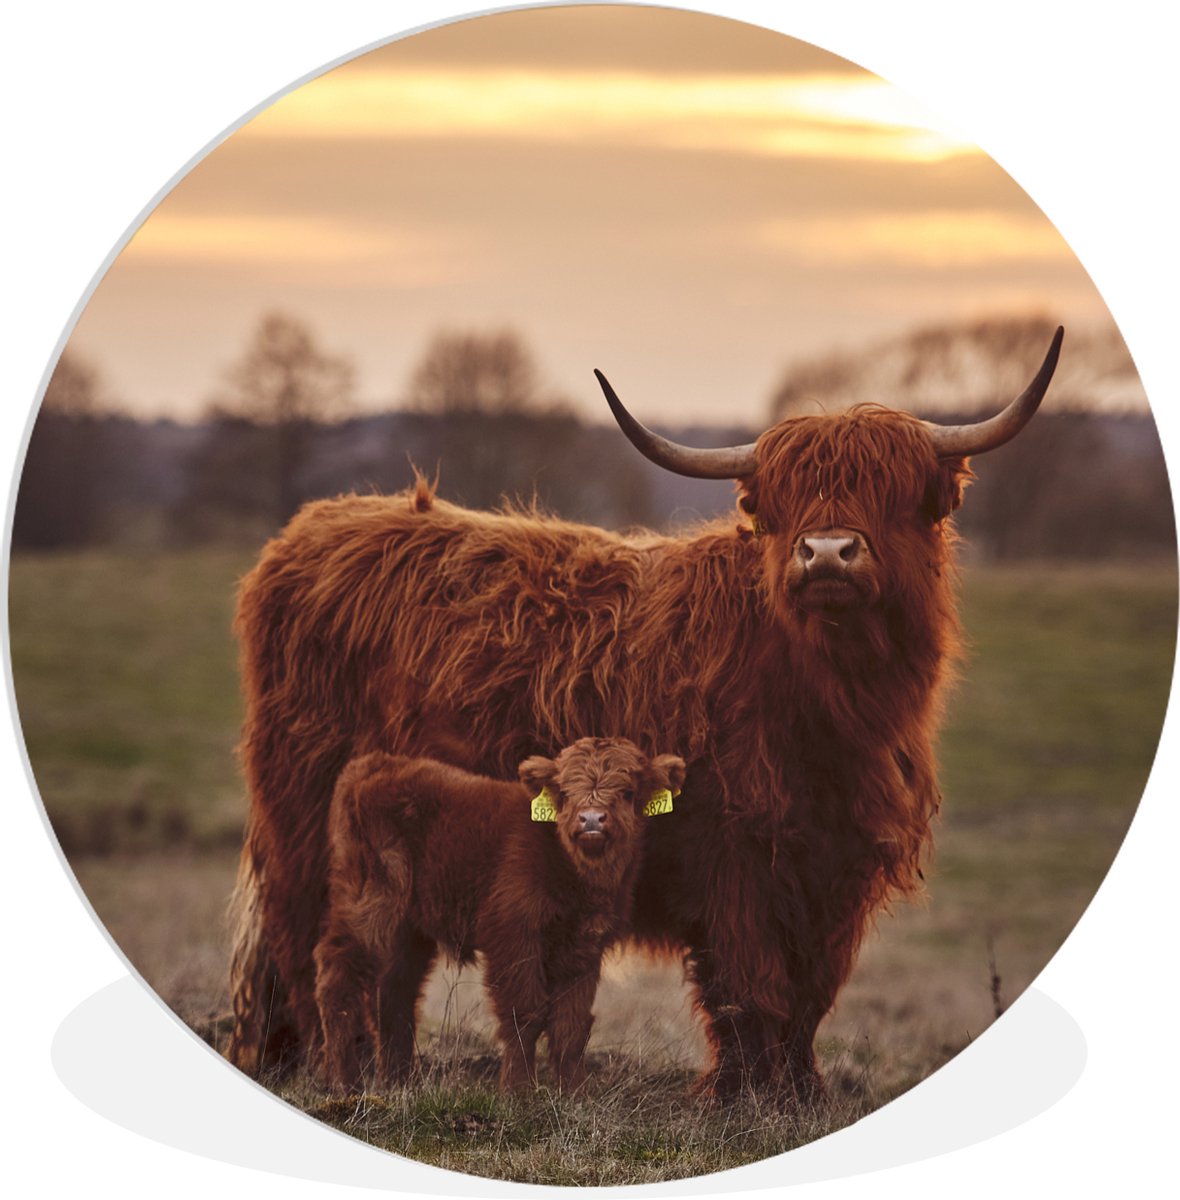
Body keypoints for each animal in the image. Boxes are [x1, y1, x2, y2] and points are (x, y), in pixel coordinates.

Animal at [314, 738, 685, 1093]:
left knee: (394, 991)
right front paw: (517, 1089)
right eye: (565, 792)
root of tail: (373, 764)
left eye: (628, 791)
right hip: (370, 901)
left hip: (407, 929)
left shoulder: (585, 946)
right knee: (339, 975)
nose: (591, 819)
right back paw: (343, 1081)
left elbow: (572, 1024)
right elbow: (525, 1013)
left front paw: (576, 1091)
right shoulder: (514, 936)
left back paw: (400, 1080)